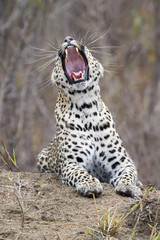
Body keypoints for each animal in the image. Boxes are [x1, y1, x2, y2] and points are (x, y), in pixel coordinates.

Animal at [37, 35, 142, 197]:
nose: (67, 38)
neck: (86, 106)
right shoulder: (71, 163)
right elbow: (80, 173)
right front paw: (90, 185)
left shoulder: (122, 163)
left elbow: (130, 174)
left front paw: (128, 186)